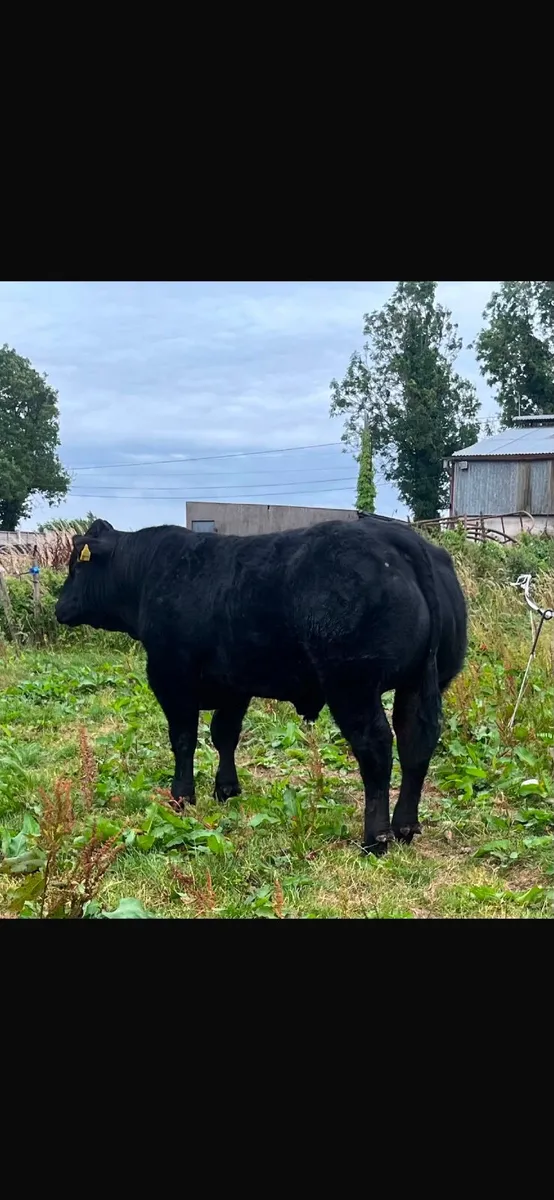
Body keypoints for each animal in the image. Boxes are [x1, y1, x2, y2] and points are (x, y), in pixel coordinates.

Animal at [55, 516, 467, 854]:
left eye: (76, 566)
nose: (59, 607)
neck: (150, 573)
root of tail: (395, 536)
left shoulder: (170, 678)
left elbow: (184, 739)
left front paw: (181, 796)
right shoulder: (234, 685)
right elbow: (225, 735)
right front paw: (226, 789)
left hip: (353, 686)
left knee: (376, 747)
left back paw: (375, 838)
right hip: (422, 681)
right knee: (416, 742)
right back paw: (405, 827)